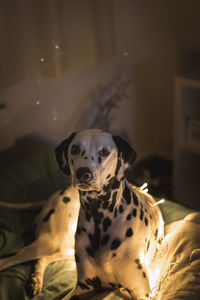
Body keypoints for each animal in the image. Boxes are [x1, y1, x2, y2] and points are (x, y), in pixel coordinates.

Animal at [55, 129, 164, 300]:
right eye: (75, 149)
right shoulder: (83, 287)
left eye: (105, 152)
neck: (100, 217)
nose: (83, 173)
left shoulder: (140, 290)